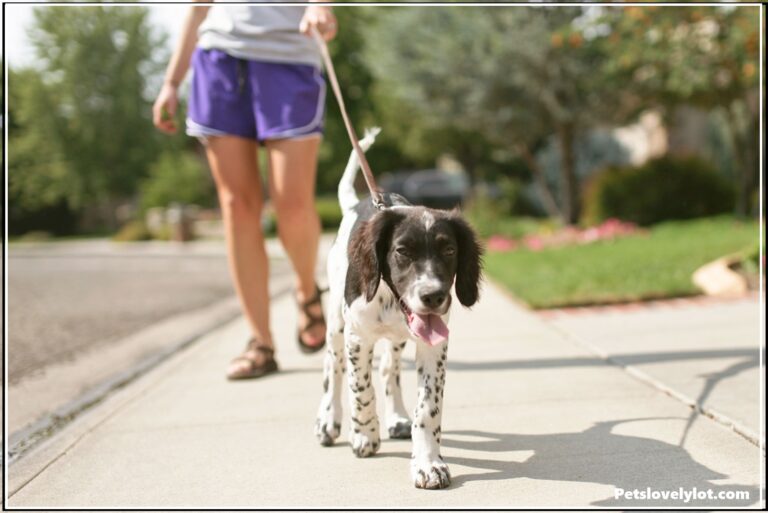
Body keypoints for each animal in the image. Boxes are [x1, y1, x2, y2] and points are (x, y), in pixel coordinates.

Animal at [316, 129, 484, 488]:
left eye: (449, 250)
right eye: (402, 251)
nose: (434, 296)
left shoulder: (434, 344)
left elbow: (428, 408)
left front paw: (428, 463)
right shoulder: (357, 337)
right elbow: (360, 388)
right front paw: (364, 435)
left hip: (397, 339)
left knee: (388, 370)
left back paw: (396, 418)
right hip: (336, 324)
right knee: (333, 367)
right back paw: (328, 420)